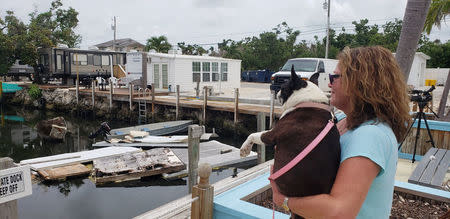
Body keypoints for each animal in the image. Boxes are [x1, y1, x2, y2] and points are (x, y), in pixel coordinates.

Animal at [239, 66, 342, 217]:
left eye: (283, 87)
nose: (277, 91)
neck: (308, 101)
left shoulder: (272, 134)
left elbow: (252, 135)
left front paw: (244, 149)